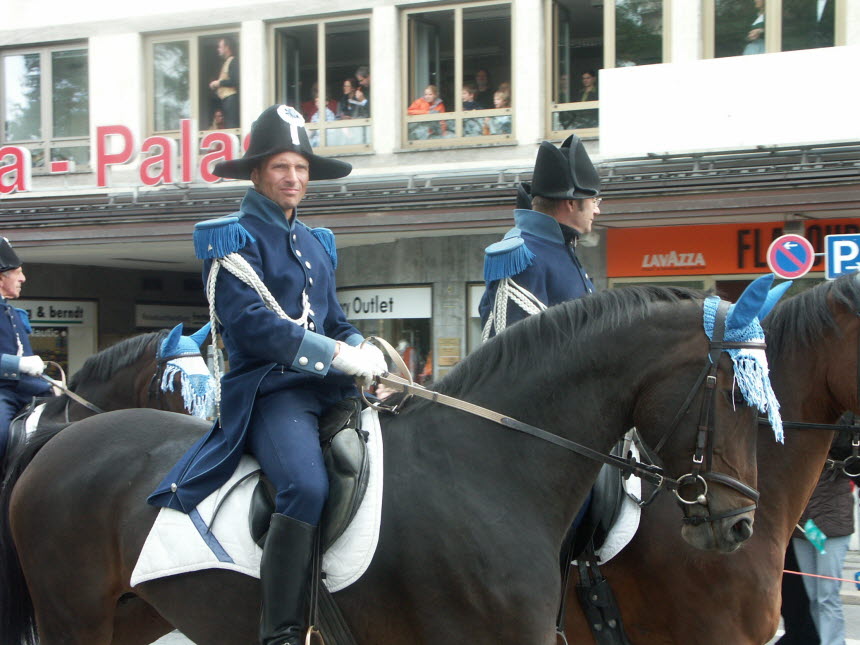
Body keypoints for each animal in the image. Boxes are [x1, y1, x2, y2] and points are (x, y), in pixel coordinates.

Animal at [1, 286, 764, 644]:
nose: (738, 525)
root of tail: (62, 441)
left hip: (131, 612)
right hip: (74, 616)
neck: (489, 469)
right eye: (732, 388)